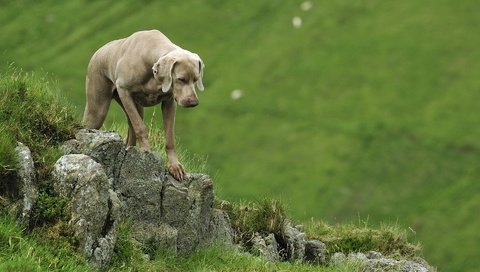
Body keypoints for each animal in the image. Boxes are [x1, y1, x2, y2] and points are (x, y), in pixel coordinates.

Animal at [82, 29, 202, 181]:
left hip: (134, 107)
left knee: (131, 130)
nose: (193, 103)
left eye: (196, 79)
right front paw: (146, 154)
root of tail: (98, 51)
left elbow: (170, 137)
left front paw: (174, 166)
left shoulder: (169, 101)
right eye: (181, 79)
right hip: (98, 108)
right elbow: (140, 127)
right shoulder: (124, 90)